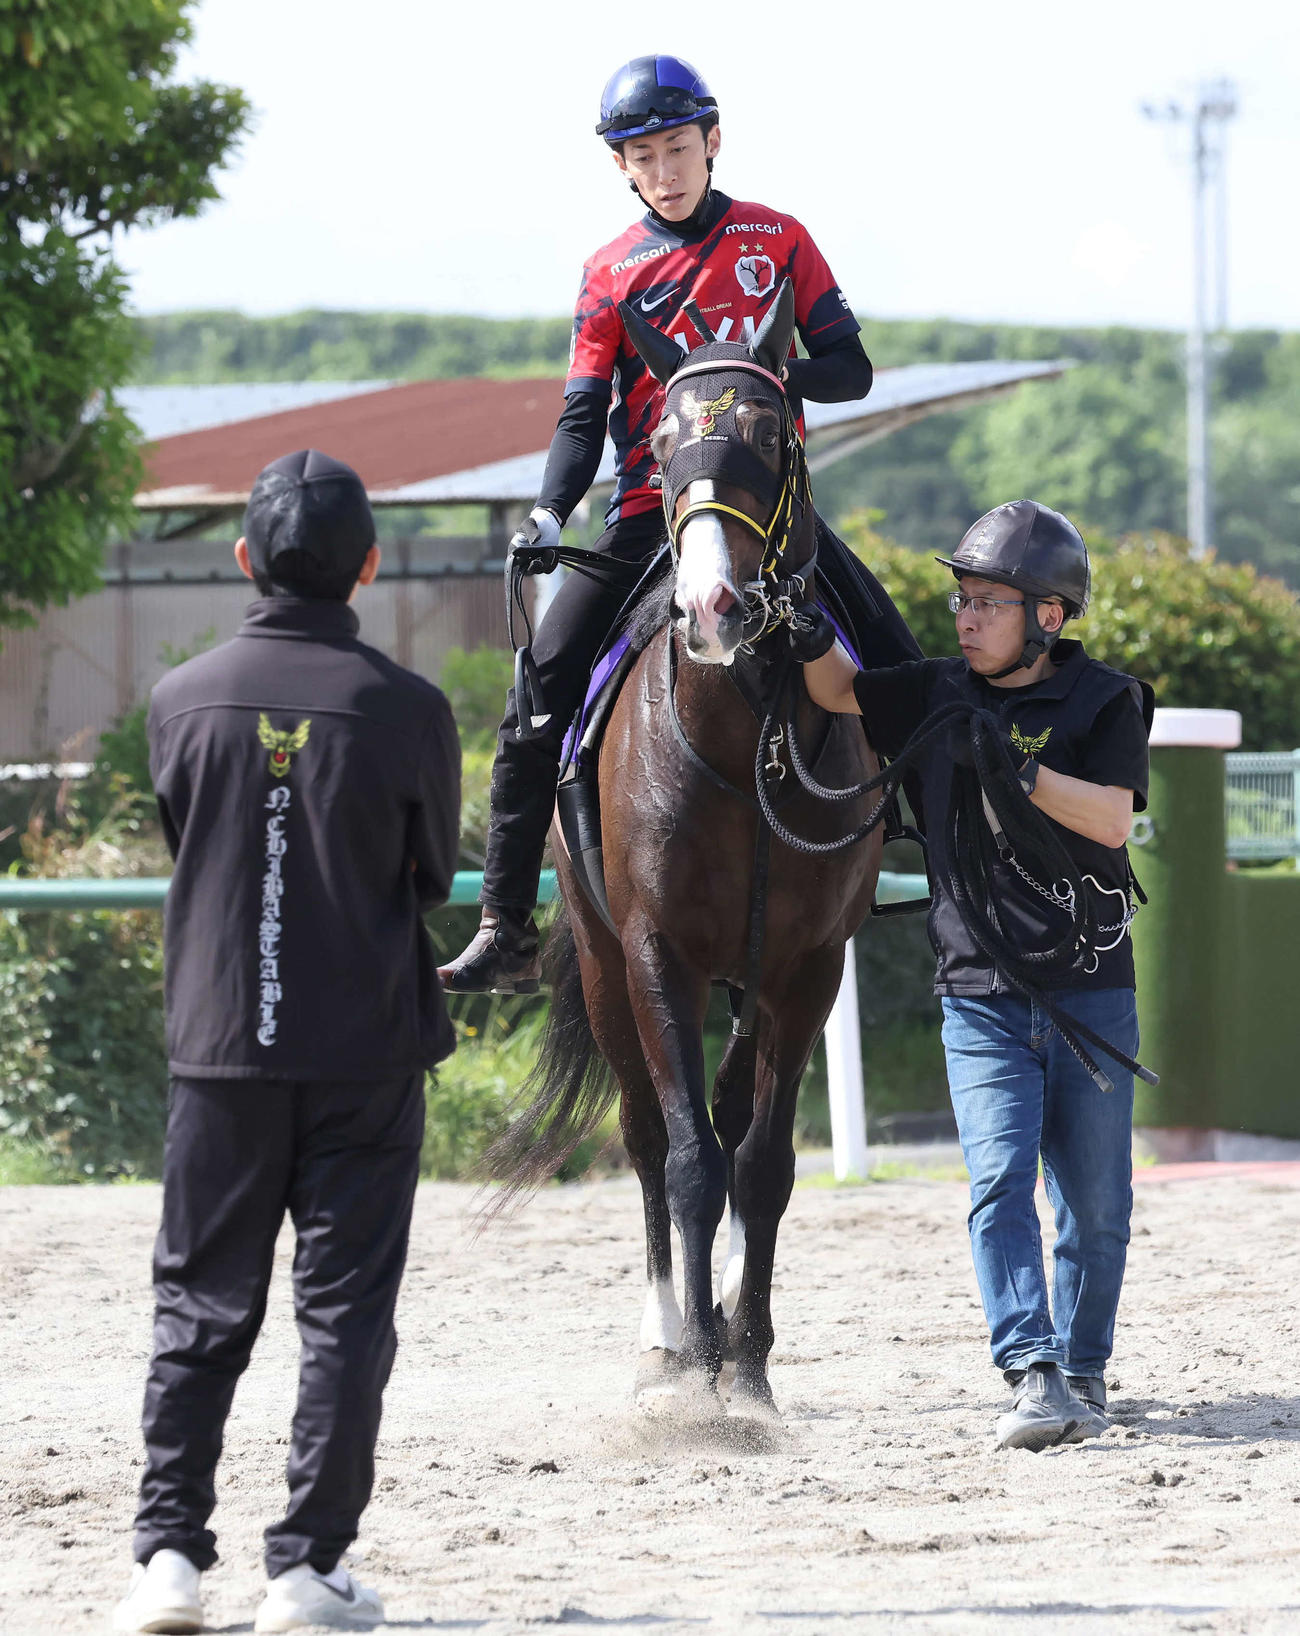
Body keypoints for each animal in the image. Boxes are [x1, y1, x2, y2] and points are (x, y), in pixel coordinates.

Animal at [490, 284, 896, 1417]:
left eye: (766, 432)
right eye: (662, 440)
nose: (713, 608)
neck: (739, 731)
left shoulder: (805, 966)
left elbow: (759, 1165)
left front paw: (747, 1366)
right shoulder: (654, 954)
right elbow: (685, 1162)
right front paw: (693, 1373)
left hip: (744, 981)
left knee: (720, 1122)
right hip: (600, 967)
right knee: (645, 1138)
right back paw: (669, 1339)